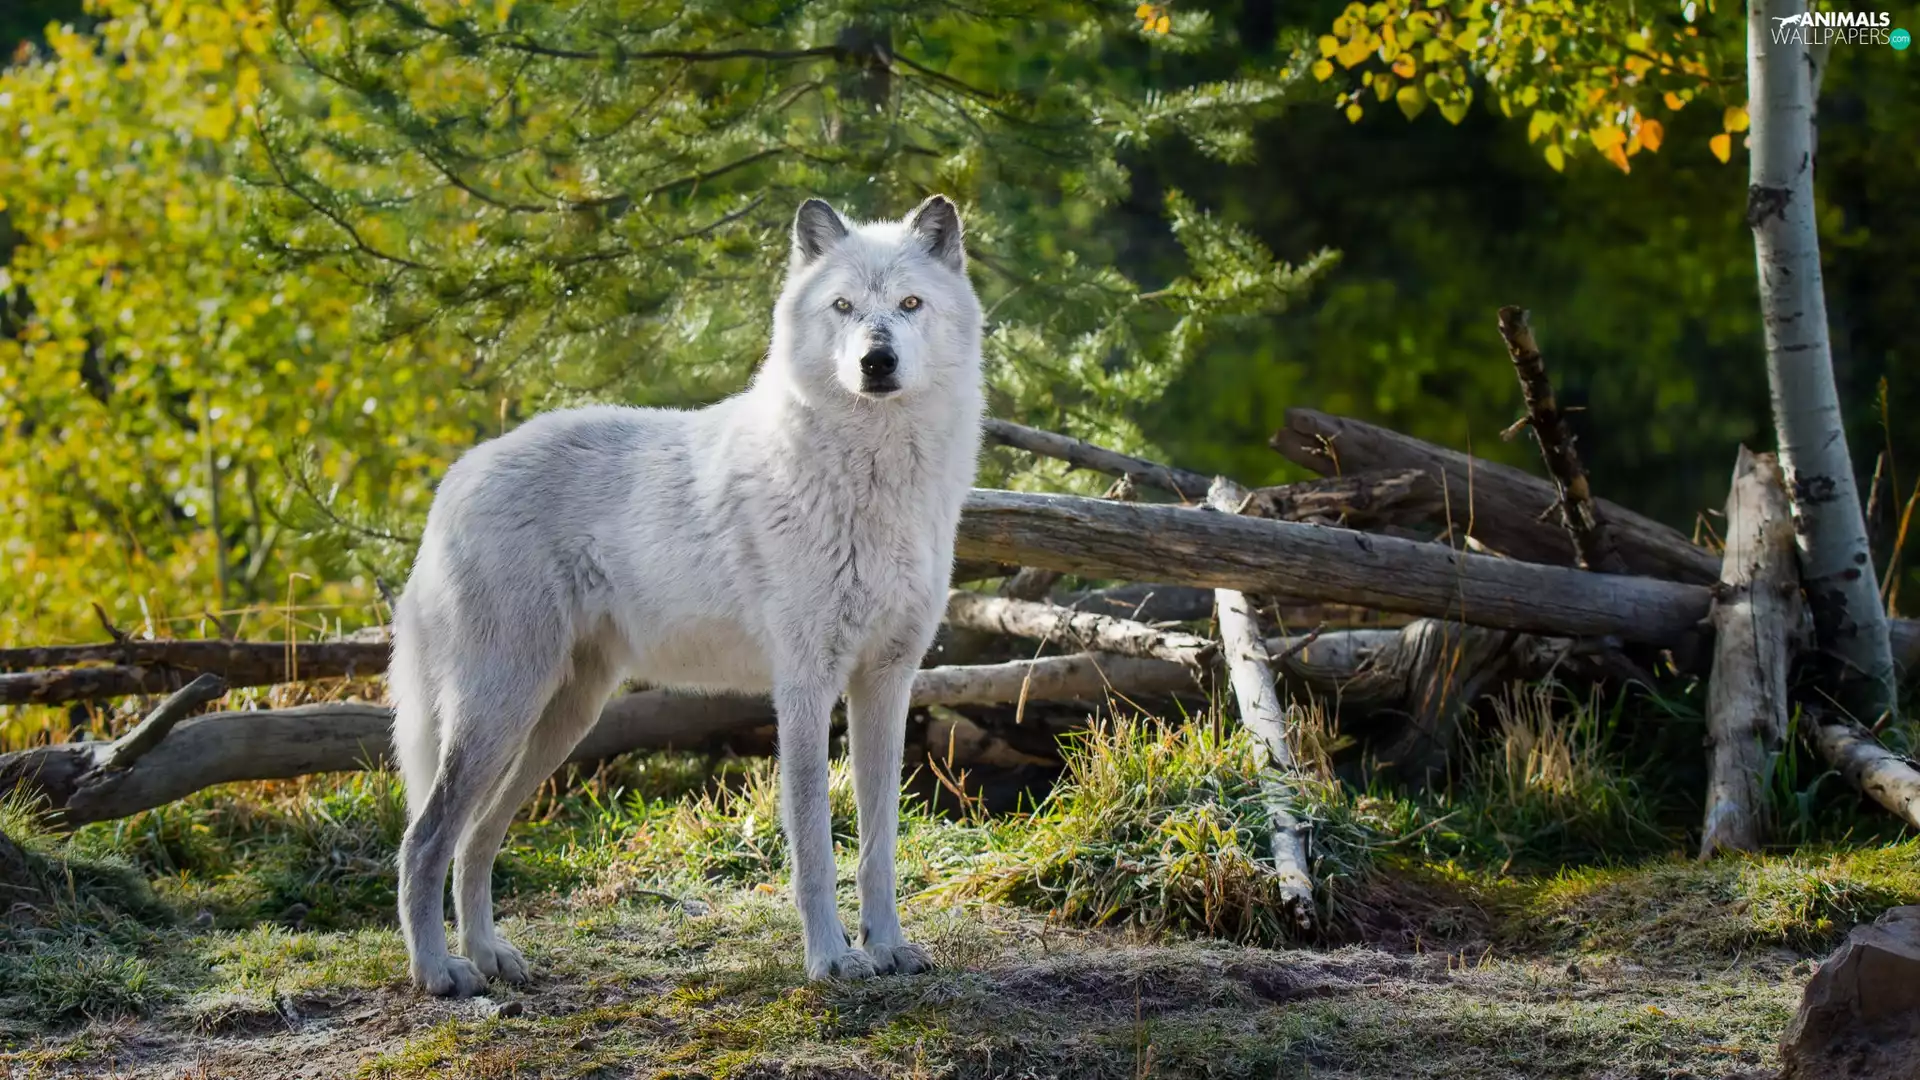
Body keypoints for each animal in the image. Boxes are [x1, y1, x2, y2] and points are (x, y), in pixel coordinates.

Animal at [388, 195, 984, 996]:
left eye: (910, 304)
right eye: (844, 307)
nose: (876, 361)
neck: (874, 482)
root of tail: (456, 475)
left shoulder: (886, 685)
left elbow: (877, 846)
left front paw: (888, 947)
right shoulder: (804, 688)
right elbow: (814, 849)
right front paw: (830, 960)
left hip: (557, 722)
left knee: (475, 841)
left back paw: (491, 957)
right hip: (501, 710)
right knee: (424, 840)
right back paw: (438, 972)